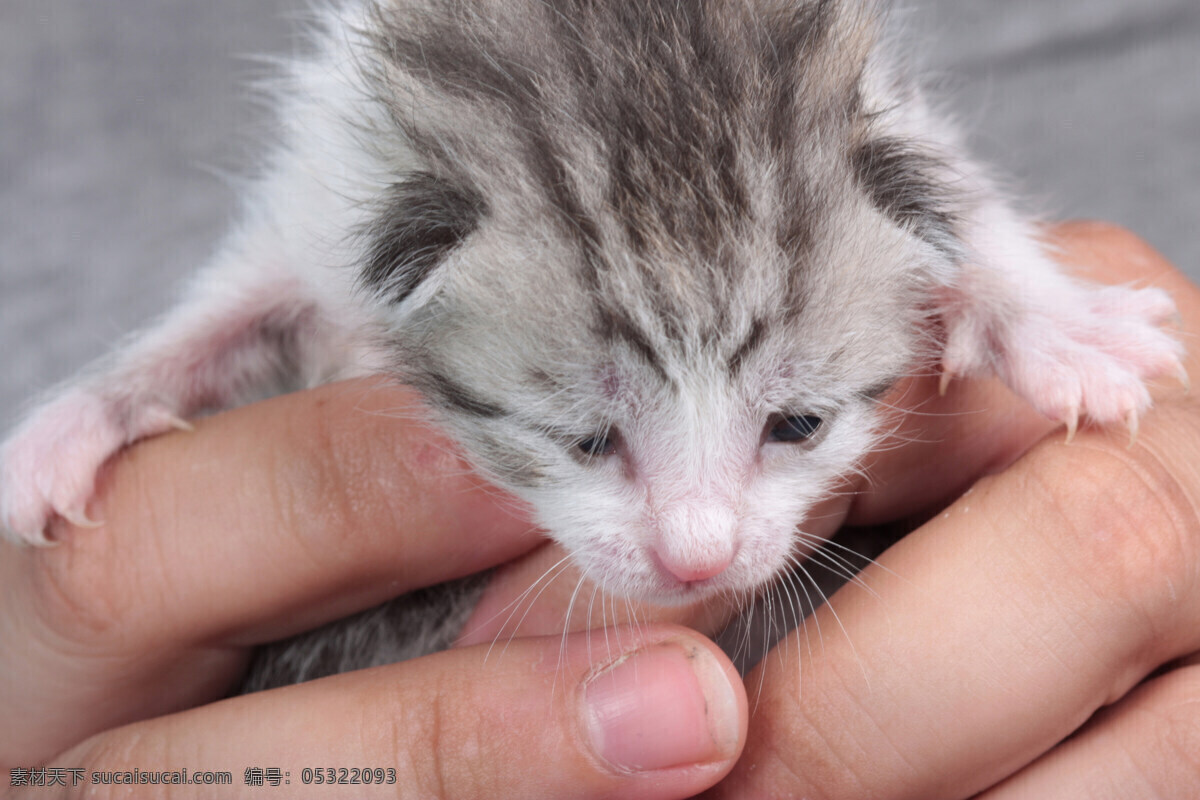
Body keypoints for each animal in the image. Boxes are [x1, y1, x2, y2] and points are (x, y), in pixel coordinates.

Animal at [0, 1, 1180, 690]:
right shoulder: (318, 197)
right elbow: (224, 316)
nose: (696, 559)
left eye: (797, 424)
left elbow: (964, 201)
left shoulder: (891, 118)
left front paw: (1061, 323)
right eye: (584, 438)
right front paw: (69, 426)